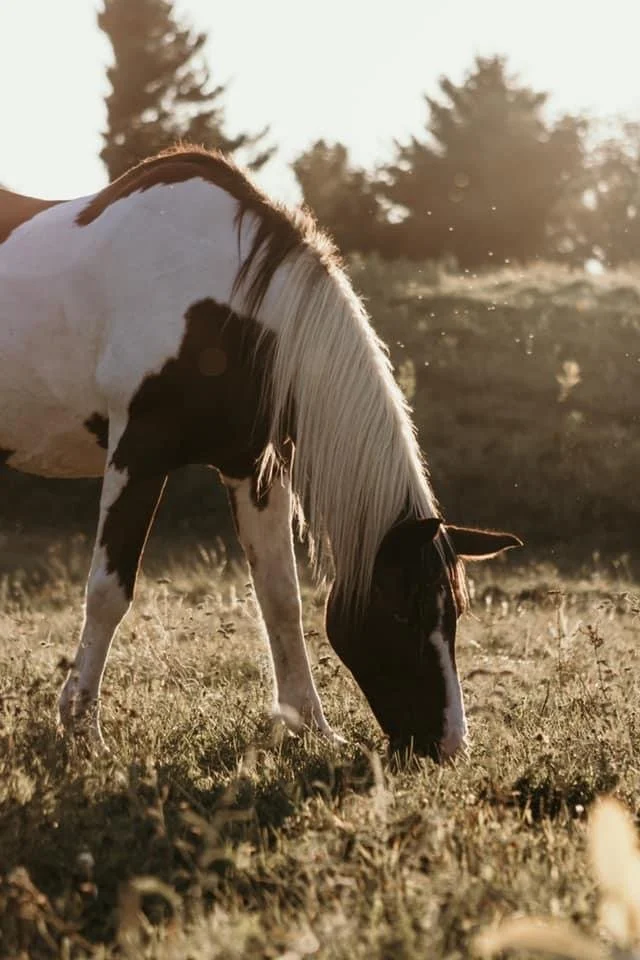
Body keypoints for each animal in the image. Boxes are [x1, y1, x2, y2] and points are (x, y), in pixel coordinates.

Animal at [0, 146, 521, 761]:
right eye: (402, 611)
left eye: (455, 613)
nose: (449, 745)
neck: (224, 307)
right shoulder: (139, 453)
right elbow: (108, 592)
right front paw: (84, 730)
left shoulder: (253, 468)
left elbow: (281, 597)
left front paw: (312, 726)